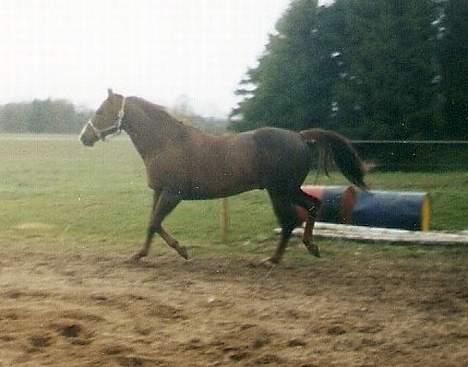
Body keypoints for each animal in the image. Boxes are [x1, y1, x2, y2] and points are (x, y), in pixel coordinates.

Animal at [78, 90, 368, 266]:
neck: (165, 142)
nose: (84, 137)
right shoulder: (158, 192)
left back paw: (275, 259)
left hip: (279, 191)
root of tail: (299, 136)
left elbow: (154, 223)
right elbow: (153, 224)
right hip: (289, 189)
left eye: (101, 111)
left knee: (290, 221)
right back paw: (309, 246)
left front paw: (179, 251)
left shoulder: (172, 194)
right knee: (311, 207)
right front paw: (143, 253)